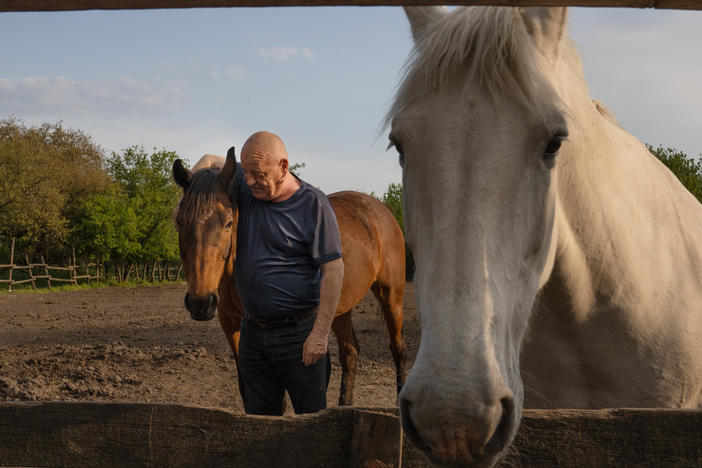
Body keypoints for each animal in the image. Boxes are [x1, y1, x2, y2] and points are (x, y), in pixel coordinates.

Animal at [173, 148, 410, 404]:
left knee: (398, 350)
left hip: (391, 297)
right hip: (340, 308)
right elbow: (246, 386)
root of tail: (382, 210)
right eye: (179, 222)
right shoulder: (230, 322)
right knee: (350, 352)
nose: (200, 302)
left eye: (228, 223)